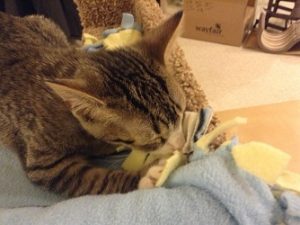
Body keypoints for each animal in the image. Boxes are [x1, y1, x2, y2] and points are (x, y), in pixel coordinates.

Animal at [0, 11, 186, 196]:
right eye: (156, 139)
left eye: (183, 114)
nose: (182, 145)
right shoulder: (44, 163)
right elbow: (94, 180)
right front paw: (145, 176)